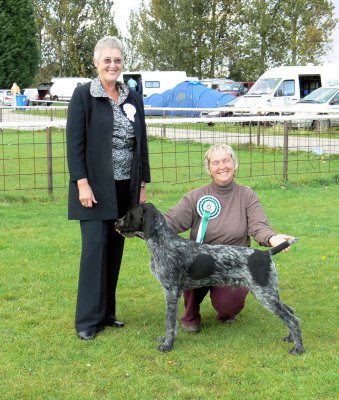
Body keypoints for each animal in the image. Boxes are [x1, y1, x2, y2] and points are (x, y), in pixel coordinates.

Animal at [117, 203, 306, 354]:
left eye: (129, 214)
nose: (115, 223)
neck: (163, 243)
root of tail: (266, 254)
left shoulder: (171, 292)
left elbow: (169, 323)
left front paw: (167, 345)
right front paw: (165, 340)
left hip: (265, 294)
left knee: (292, 319)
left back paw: (298, 348)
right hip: (267, 292)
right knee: (291, 312)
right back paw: (291, 338)